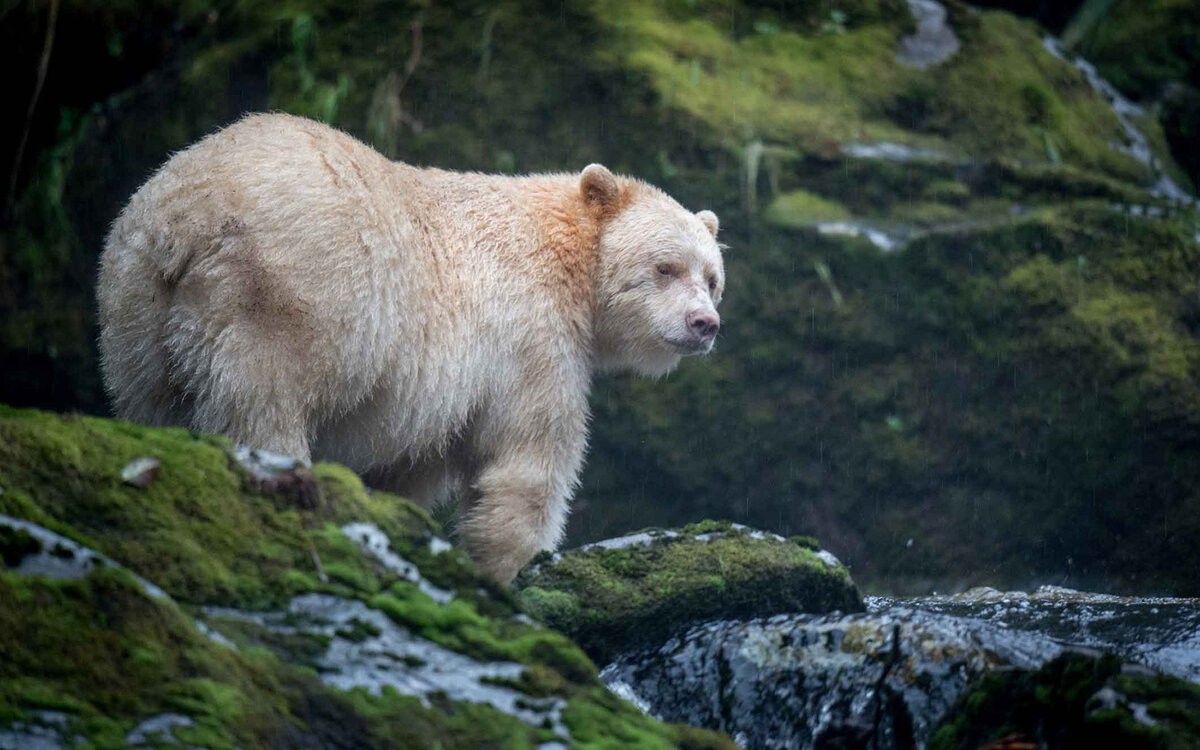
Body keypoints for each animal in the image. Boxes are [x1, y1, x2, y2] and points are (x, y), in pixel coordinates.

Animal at [98, 112, 720, 578]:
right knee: (262, 407)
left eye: (712, 278)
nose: (704, 323)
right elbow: (526, 464)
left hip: (138, 309)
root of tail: (188, 214)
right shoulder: (529, 336)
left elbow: (405, 469)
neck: (565, 253)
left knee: (155, 402)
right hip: (278, 301)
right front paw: (514, 567)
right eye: (665, 268)